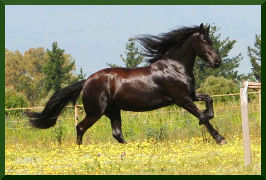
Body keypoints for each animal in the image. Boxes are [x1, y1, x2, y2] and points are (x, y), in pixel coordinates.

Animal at [27, 23, 227, 145]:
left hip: (113, 110)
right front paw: (219, 137)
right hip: (96, 111)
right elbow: (201, 115)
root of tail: (87, 81)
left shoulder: (190, 94)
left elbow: (209, 100)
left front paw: (209, 115)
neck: (174, 67)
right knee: (81, 127)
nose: (217, 62)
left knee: (117, 133)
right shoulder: (182, 99)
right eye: (205, 41)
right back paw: (80, 150)